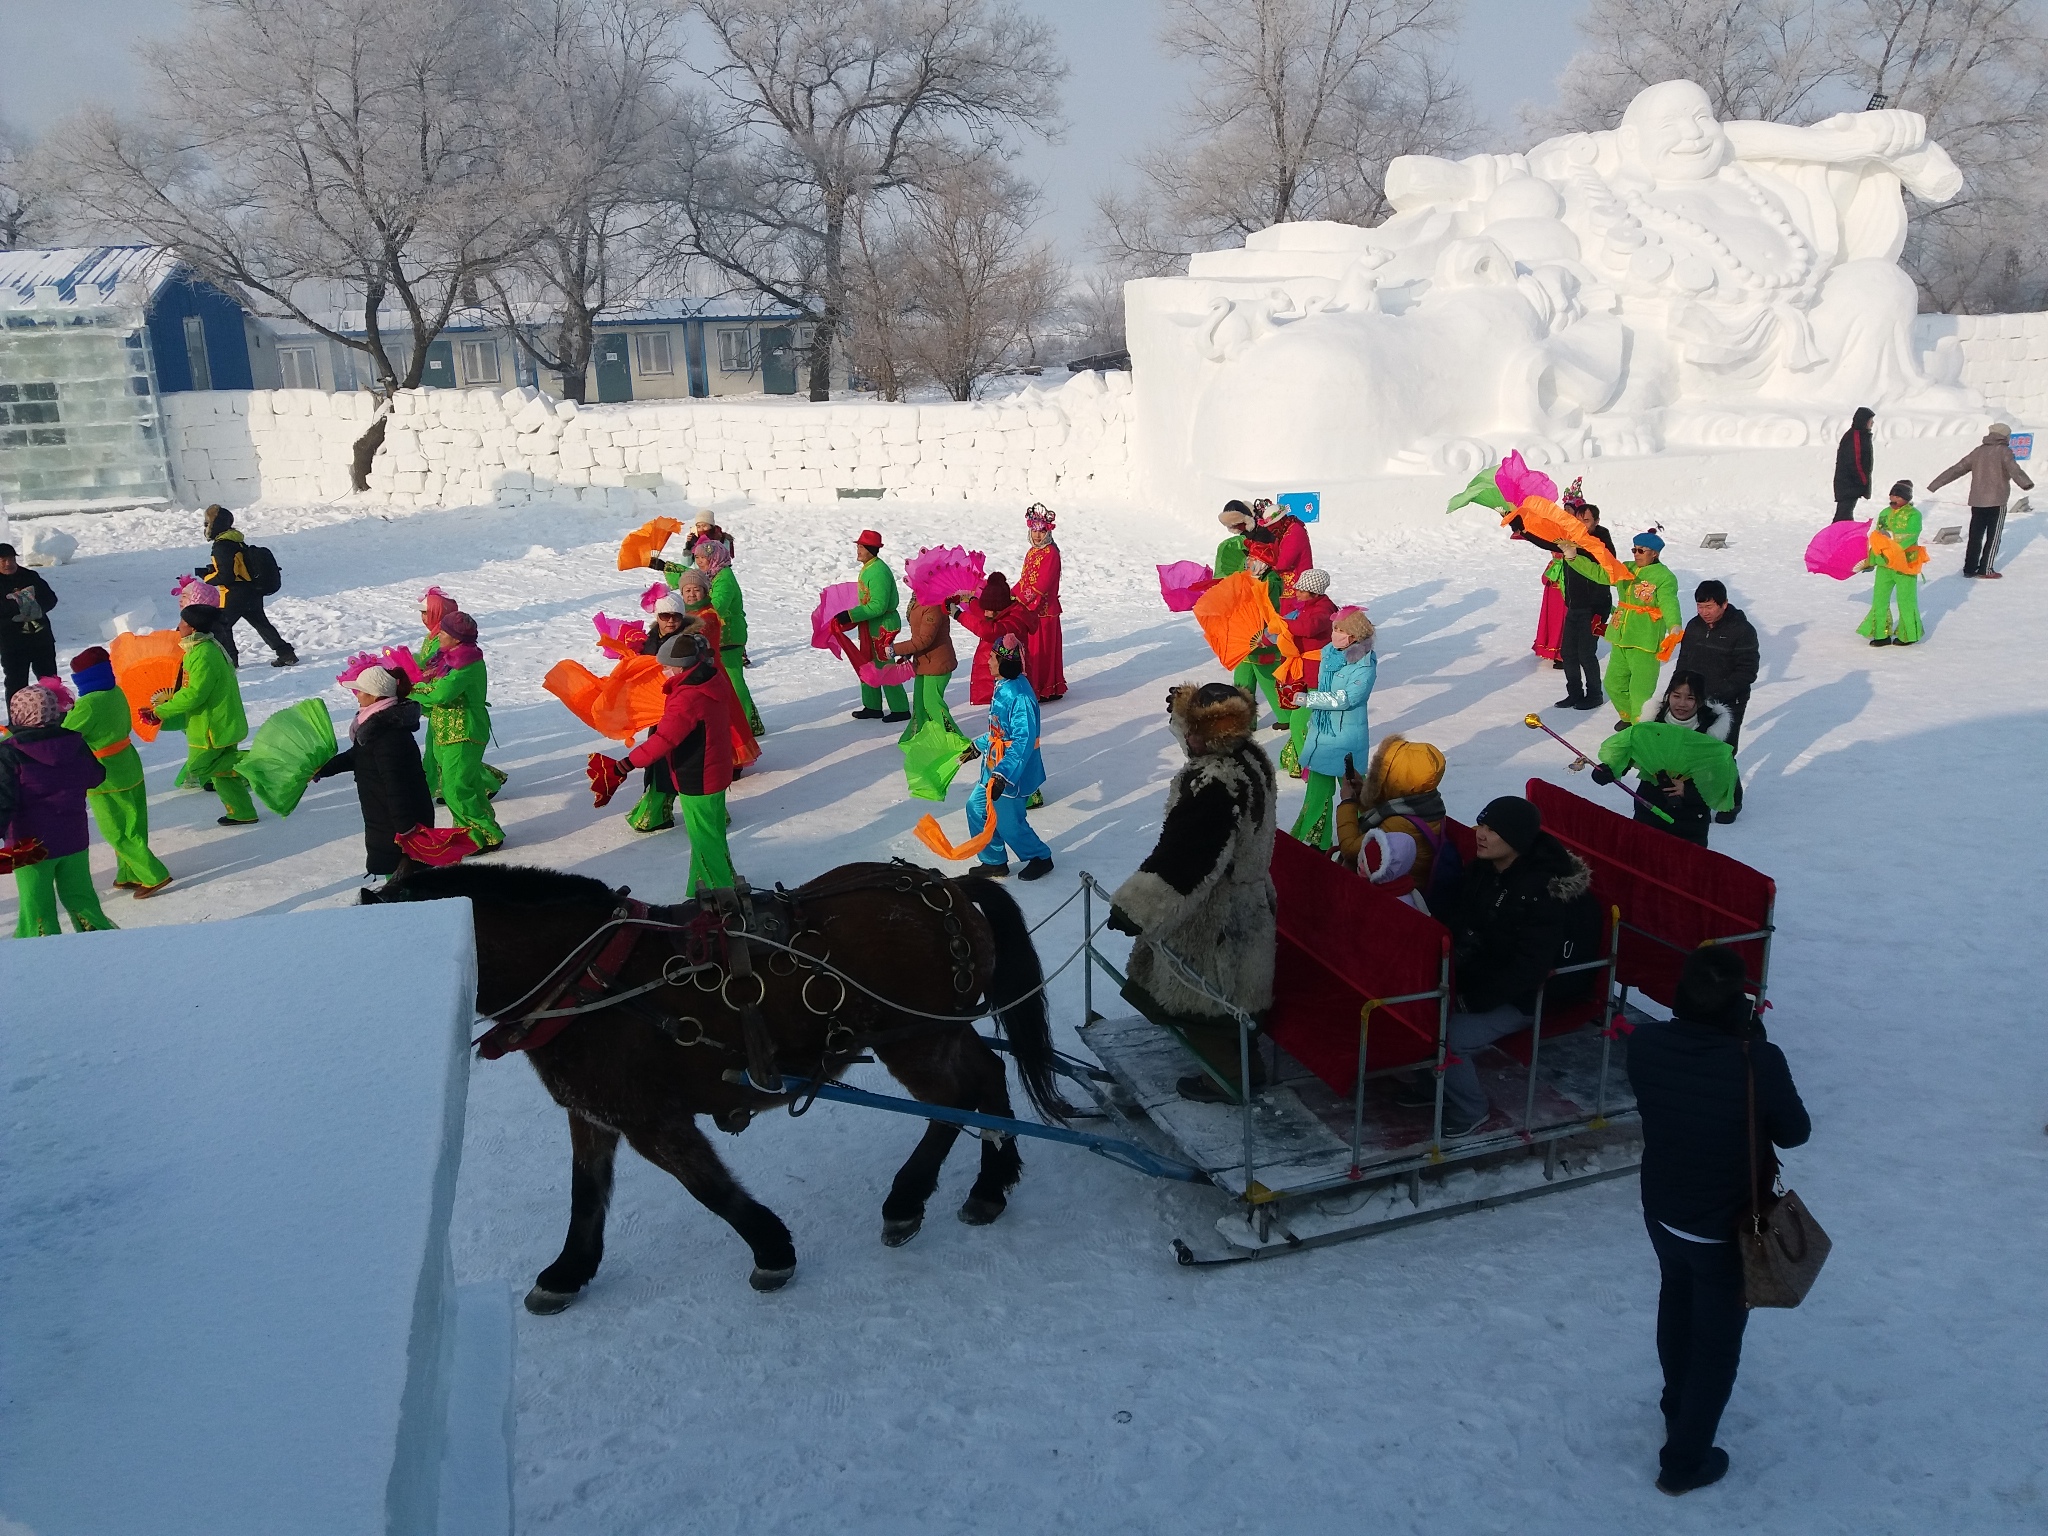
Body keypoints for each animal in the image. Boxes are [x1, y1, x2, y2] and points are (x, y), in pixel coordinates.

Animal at [364, 860, 1073, 1318]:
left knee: (951, 1101)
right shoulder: (593, 1114)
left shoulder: (652, 1120)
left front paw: (773, 1250)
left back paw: (907, 1198)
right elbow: (585, 1196)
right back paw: (990, 1185)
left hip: (913, 1040)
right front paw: (568, 1272)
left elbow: (711, 1191)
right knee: (986, 1081)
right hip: (936, 1033)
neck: (587, 975)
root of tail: (944, 885)